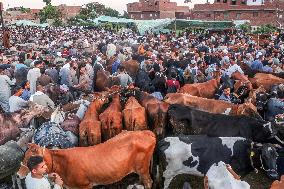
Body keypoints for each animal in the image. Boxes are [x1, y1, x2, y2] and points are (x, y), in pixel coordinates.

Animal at [16, 131, 156, 189]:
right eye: (24, 156)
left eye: (29, 159)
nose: (17, 174)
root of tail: (146, 132)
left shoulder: (85, 185)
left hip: (143, 167)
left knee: (149, 181)